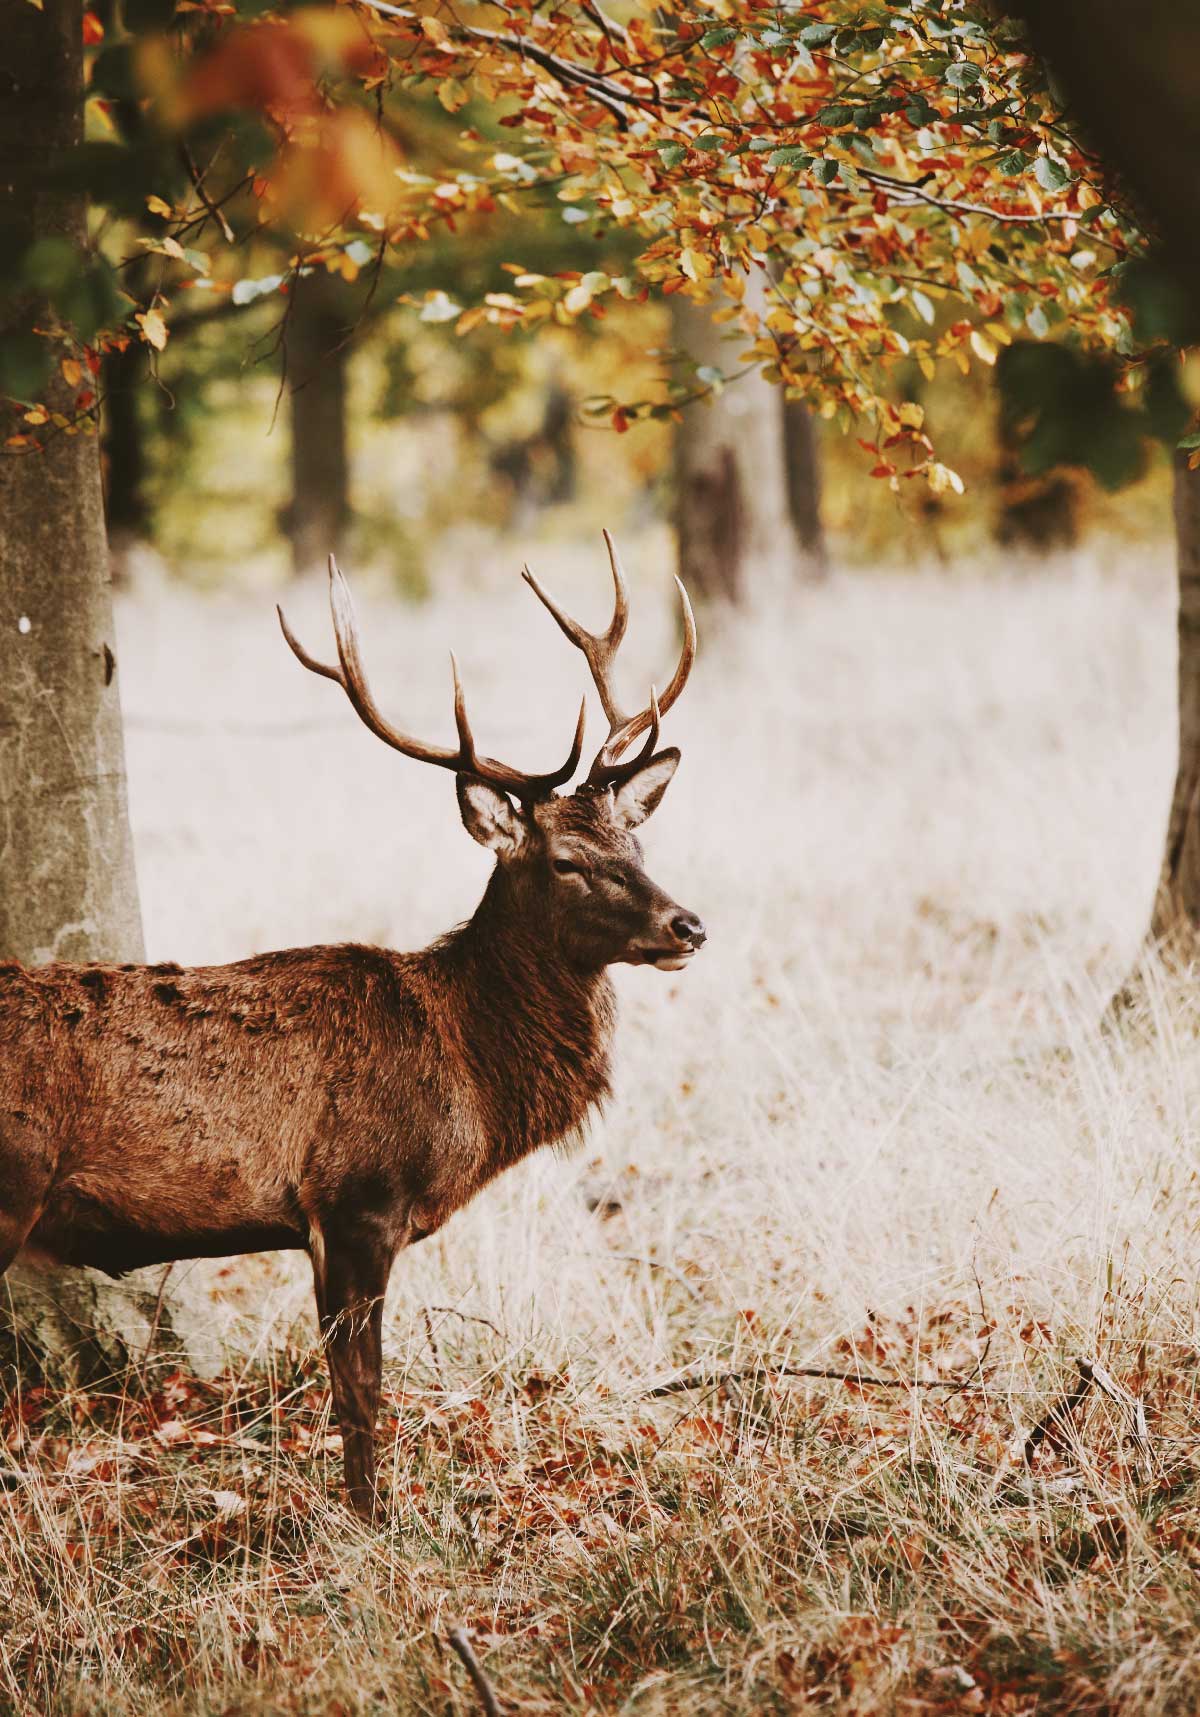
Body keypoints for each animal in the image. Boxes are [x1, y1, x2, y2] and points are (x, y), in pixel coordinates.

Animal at [0, 535, 707, 1517]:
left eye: (636, 845)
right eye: (568, 860)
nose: (689, 925)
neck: (467, 1073)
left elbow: (352, 1383)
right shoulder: (357, 1196)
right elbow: (362, 1389)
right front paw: (372, 1520)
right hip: (7, 1183)